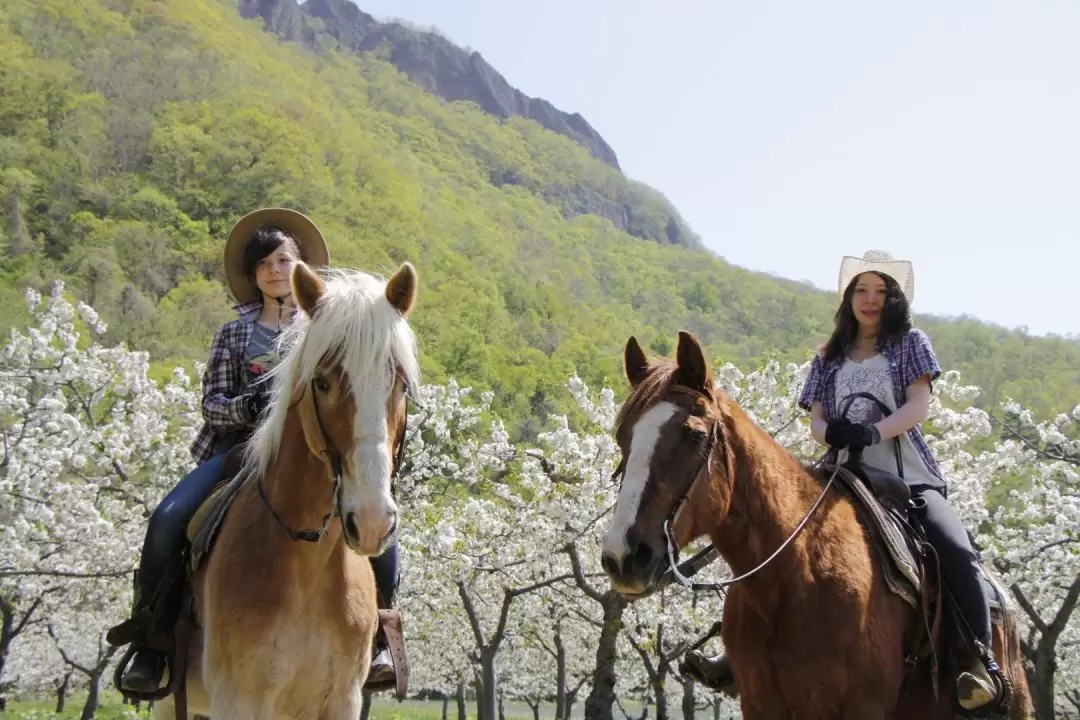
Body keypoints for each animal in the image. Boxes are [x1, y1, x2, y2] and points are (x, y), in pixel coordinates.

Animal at [153, 262, 421, 716]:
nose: (371, 522)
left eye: (399, 384)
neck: (308, 563)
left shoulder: (343, 700)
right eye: (323, 383)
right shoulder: (237, 699)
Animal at [596, 332, 1032, 720]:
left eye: (693, 436)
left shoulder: (856, 710)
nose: (623, 557)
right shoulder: (761, 705)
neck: (791, 576)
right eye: (623, 436)